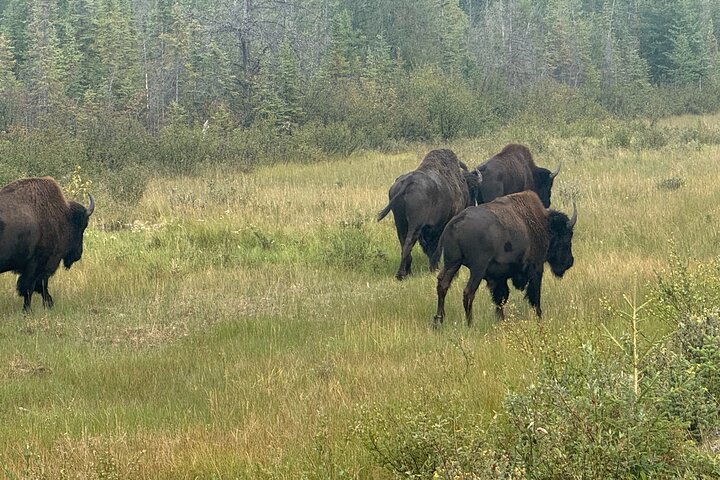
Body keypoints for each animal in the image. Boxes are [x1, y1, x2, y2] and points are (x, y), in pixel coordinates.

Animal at [0, 177, 95, 311]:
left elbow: (40, 288)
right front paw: (28, 310)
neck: (63, 216)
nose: (78, 254)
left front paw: (49, 304)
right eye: (82, 226)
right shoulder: (38, 265)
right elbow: (30, 288)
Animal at [378, 149, 480, 280]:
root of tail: (408, 181)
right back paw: (402, 274)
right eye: (473, 190)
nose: (472, 205)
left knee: (404, 244)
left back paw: (407, 273)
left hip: (400, 222)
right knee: (408, 244)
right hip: (415, 225)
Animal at [432, 190, 576, 327]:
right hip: (477, 268)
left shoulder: (498, 277)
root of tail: (454, 223)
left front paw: (501, 319)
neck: (543, 225)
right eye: (566, 237)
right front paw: (539, 316)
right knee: (468, 292)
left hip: (452, 263)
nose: (570, 262)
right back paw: (470, 323)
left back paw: (438, 321)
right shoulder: (536, 268)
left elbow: (500, 297)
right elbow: (534, 295)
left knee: (442, 285)